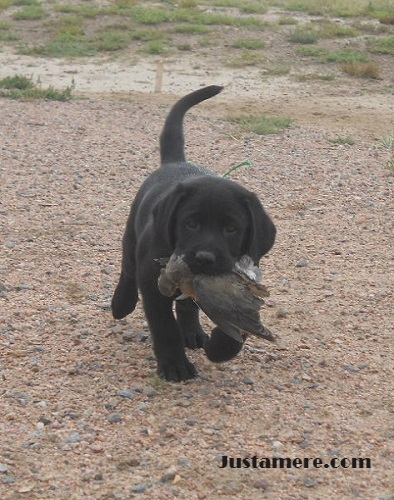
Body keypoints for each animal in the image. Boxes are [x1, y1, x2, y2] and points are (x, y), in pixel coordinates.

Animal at [111, 87, 278, 382]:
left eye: (231, 229)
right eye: (190, 223)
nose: (204, 258)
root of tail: (176, 161)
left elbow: (234, 325)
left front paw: (219, 349)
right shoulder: (153, 283)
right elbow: (164, 327)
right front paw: (174, 365)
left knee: (187, 304)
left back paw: (192, 332)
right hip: (132, 239)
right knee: (128, 269)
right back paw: (121, 303)